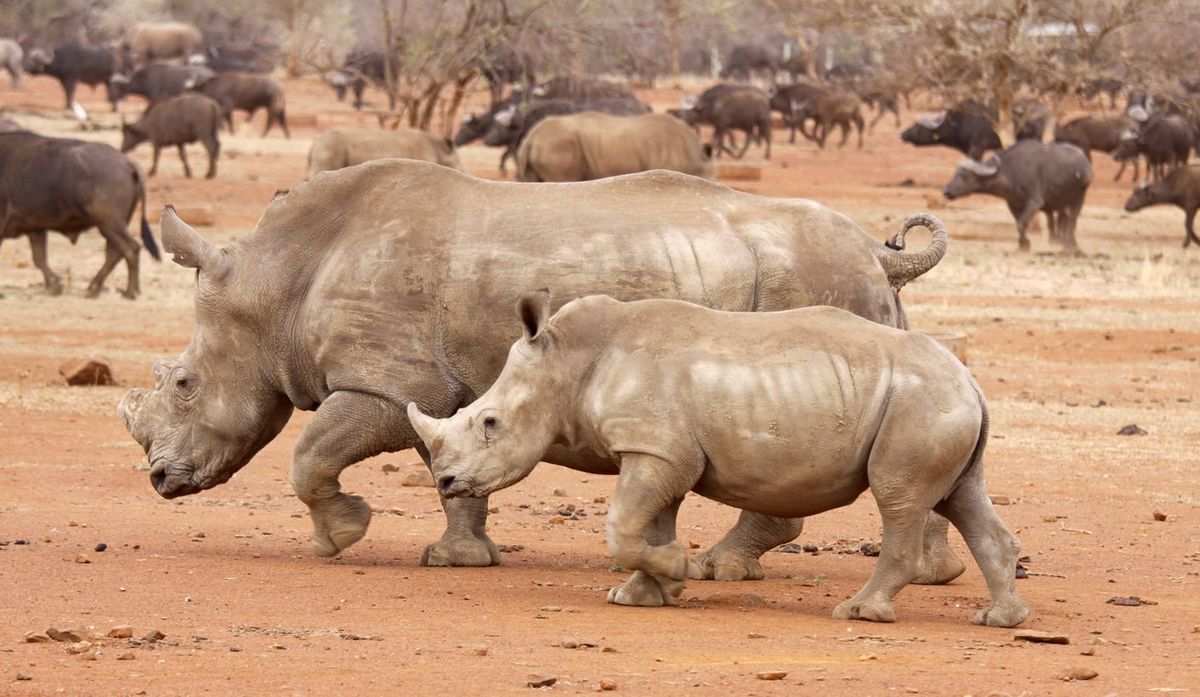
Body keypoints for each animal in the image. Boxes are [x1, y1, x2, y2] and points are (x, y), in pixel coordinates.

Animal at [117, 160, 960, 584]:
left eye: (183, 383)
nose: (158, 479)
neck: (274, 283)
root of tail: (877, 249)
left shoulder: (387, 381)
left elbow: (308, 453)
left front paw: (341, 537)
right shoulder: (444, 389)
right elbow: (448, 467)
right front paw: (458, 559)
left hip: (812, 281)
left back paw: (720, 568)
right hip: (848, 289)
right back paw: (932, 575)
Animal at [407, 293, 1028, 627]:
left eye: (489, 423)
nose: (446, 479)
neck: (568, 363)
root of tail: (970, 380)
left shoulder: (654, 449)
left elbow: (622, 526)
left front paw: (680, 569)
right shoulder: (661, 450)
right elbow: (648, 524)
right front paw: (644, 594)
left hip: (919, 403)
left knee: (899, 499)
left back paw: (858, 612)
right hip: (937, 401)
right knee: (962, 498)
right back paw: (1001, 620)